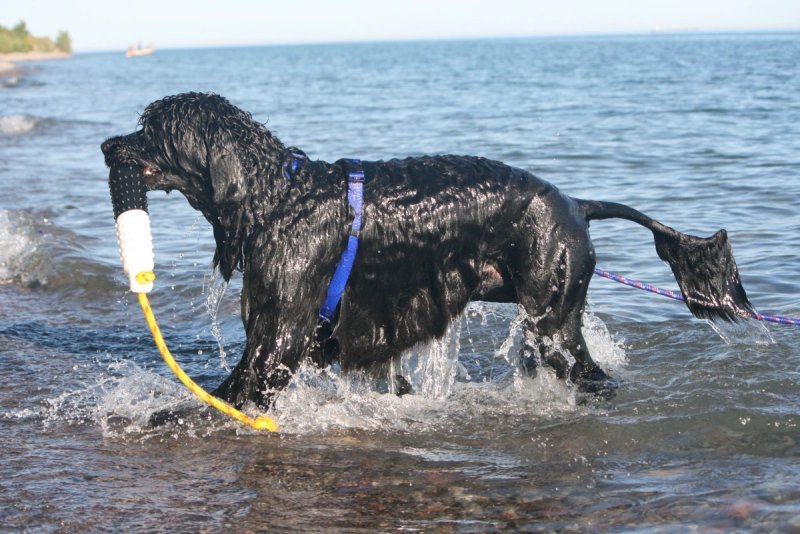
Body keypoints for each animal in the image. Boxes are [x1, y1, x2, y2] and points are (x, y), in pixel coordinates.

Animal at [101, 93, 756, 410]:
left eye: (151, 129)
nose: (108, 145)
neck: (278, 195)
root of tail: (576, 203)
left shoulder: (279, 333)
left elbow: (230, 391)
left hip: (554, 320)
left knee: (593, 377)